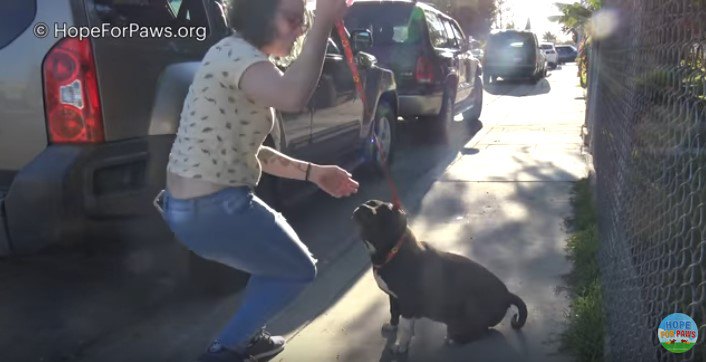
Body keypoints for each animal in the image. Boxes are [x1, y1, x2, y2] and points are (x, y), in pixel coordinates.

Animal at [350, 199, 524, 352]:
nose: (362, 207)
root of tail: (507, 294)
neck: (393, 251)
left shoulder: (407, 302)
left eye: (384, 214)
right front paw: (393, 327)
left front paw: (401, 345)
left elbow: (405, 327)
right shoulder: (394, 297)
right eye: (371, 203)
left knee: (481, 331)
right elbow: (394, 313)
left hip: (470, 312)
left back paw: (456, 338)